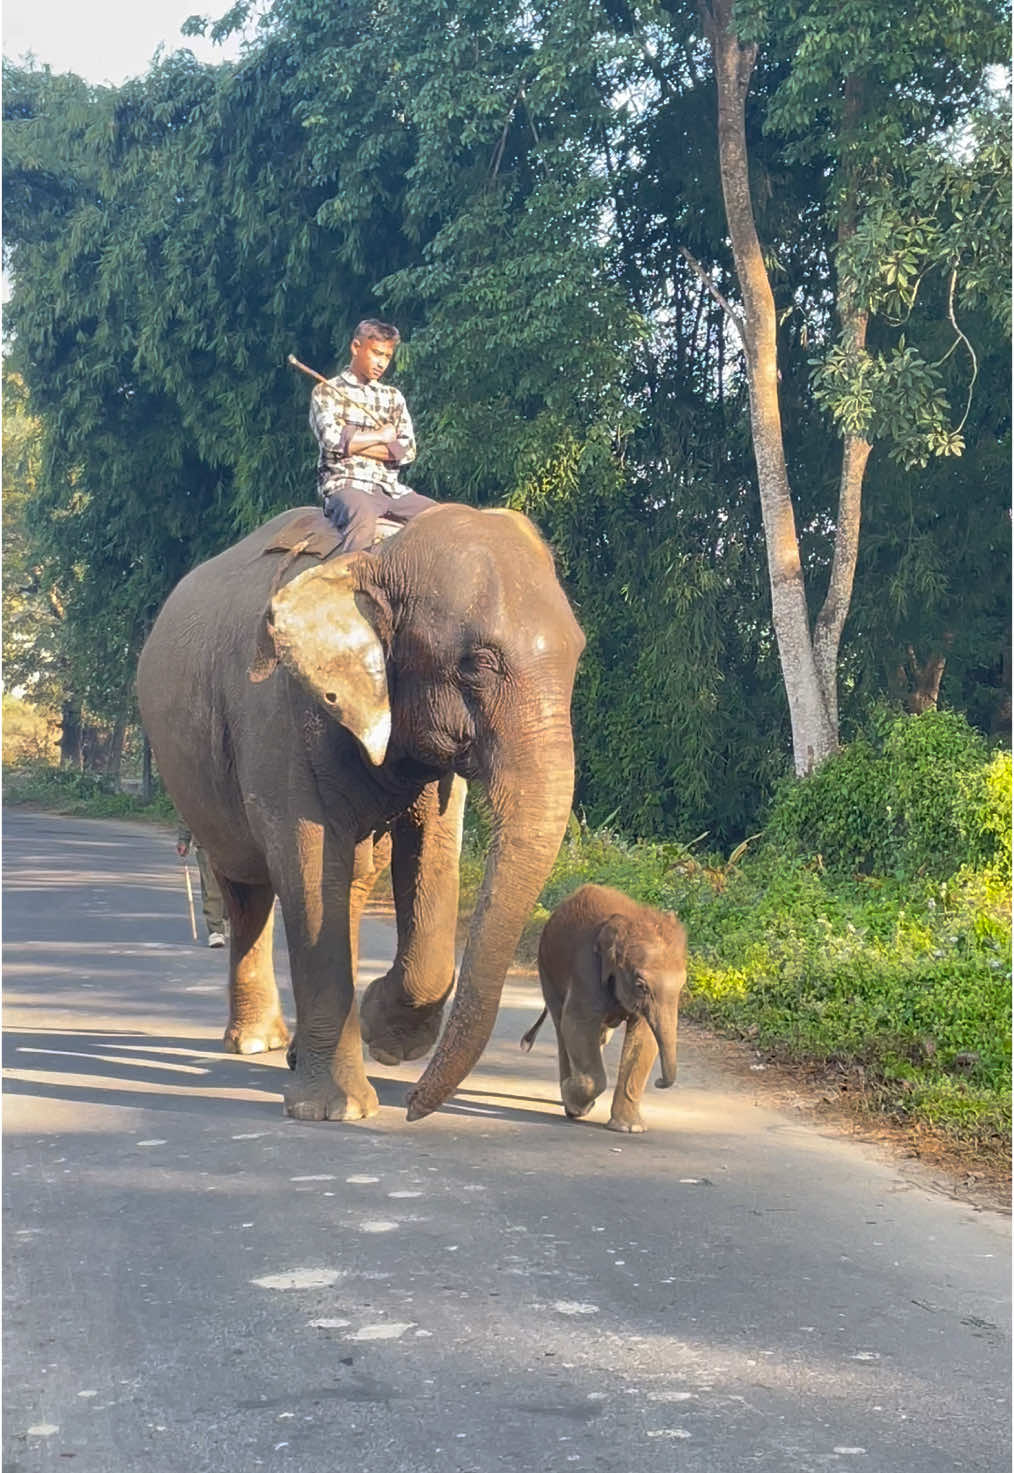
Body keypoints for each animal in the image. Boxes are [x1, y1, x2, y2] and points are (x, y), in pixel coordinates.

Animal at [141, 500, 586, 1119]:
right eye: (476, 663)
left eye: (579, 656)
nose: (415, 1107)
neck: (378, 559)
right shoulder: (281, 713)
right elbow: (308, 863)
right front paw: (339, 1109)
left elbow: (433, 851)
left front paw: (387, 1038)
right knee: (246, 883)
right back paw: (257, 1042)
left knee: (347, 882)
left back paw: (293, 1049)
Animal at [521, 877, 689, 1131]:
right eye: (641, 985)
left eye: (682, 984)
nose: (660, 1081)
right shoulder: (586, 968)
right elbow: (577, 1025)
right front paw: (574, 1100)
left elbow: (643, 1038)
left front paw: (629, 1128)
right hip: (546, 968)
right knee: (562, 1026)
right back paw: (571, 1098)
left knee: (599, 1035)